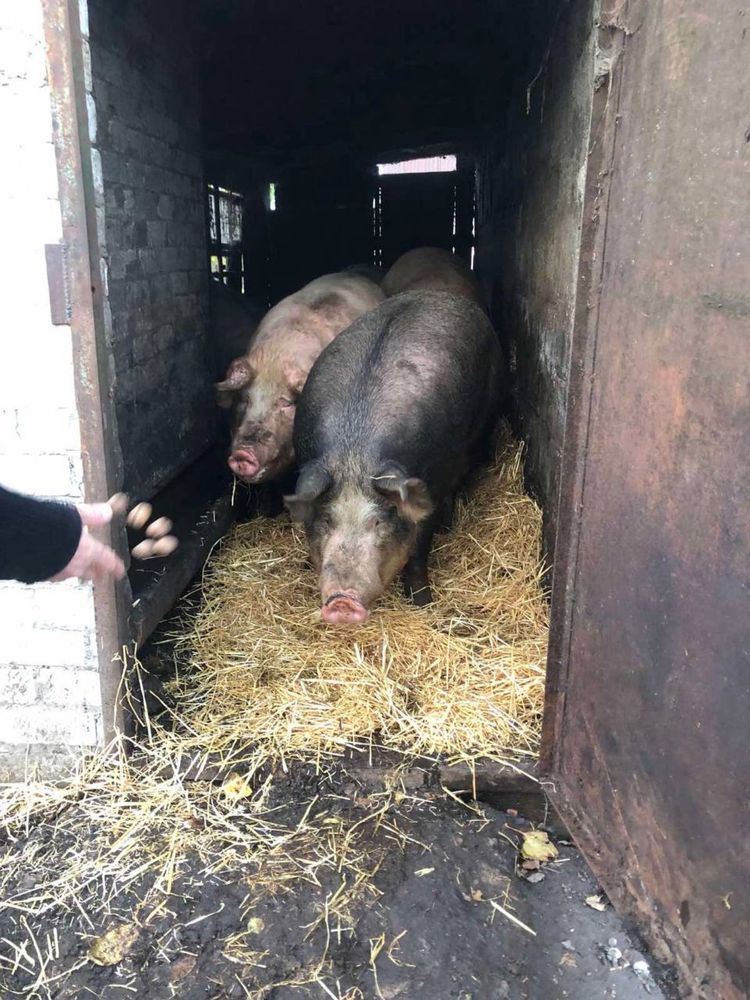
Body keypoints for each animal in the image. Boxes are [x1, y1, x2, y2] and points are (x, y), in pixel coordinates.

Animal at [286, 288, 506, 624]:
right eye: (327, 520)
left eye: (379, 521)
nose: (342, 601)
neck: (355, 454)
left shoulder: (429, 490)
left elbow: (417, 552)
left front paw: (422, 603)